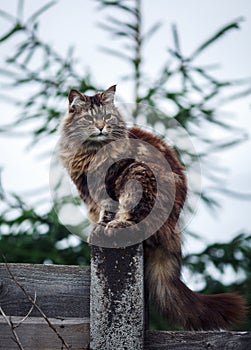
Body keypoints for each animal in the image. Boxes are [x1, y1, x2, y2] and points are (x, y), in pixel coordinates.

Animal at [58, 85, 245, 330]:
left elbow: (107, 212)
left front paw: (101, 228)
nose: (100, 127)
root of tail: (173, 229)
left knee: (135, 222)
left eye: (106, 117)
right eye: (89, 118)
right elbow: (98, 213)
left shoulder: (108, 187)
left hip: (138, 177)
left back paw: (116, 227)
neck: (91, 152)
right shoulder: (88, 194)